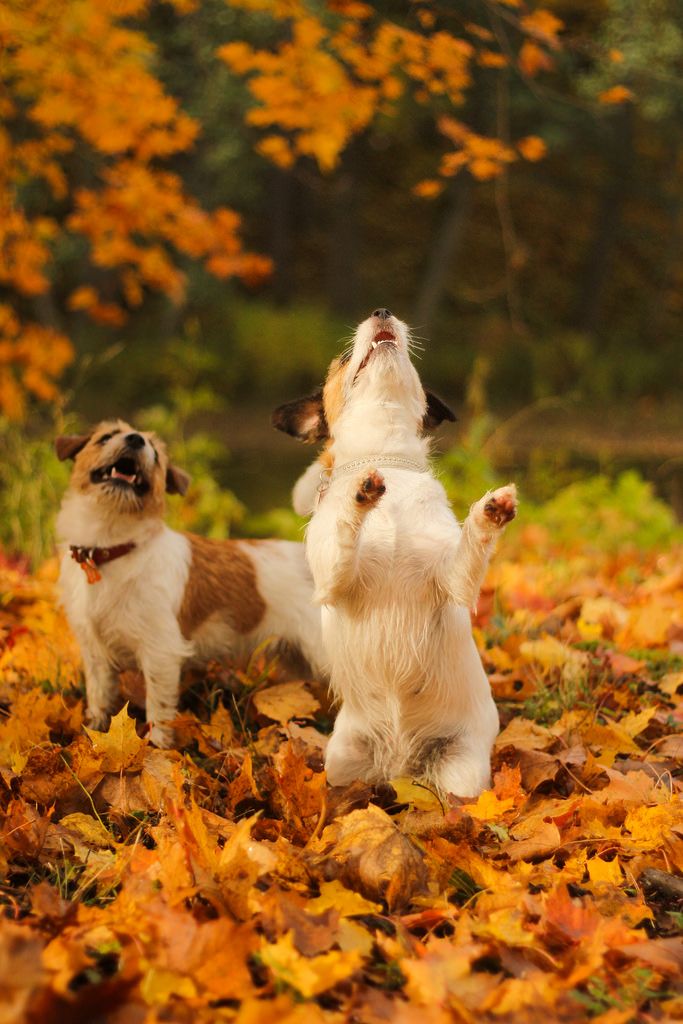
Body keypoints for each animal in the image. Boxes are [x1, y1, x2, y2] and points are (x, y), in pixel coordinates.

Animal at [54, 419, 327, 749]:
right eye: (105, 438)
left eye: (155, 453)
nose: (135, 440)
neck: (111, 549)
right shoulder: (95, 654)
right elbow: (99, 697)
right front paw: (93, 736)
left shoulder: (160, 653)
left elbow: (158, 709)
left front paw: (157, 749)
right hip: (298, 660)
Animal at [272, 307, 518, 794]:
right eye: (343, 360)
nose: (382, 311)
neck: (386, 460)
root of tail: (399, 766)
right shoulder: (332, 578)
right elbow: (344, 532)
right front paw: (359, 494)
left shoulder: (454, 581)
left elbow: (470, 543)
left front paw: (489, 512)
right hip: (341, 764)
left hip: (461, 770)